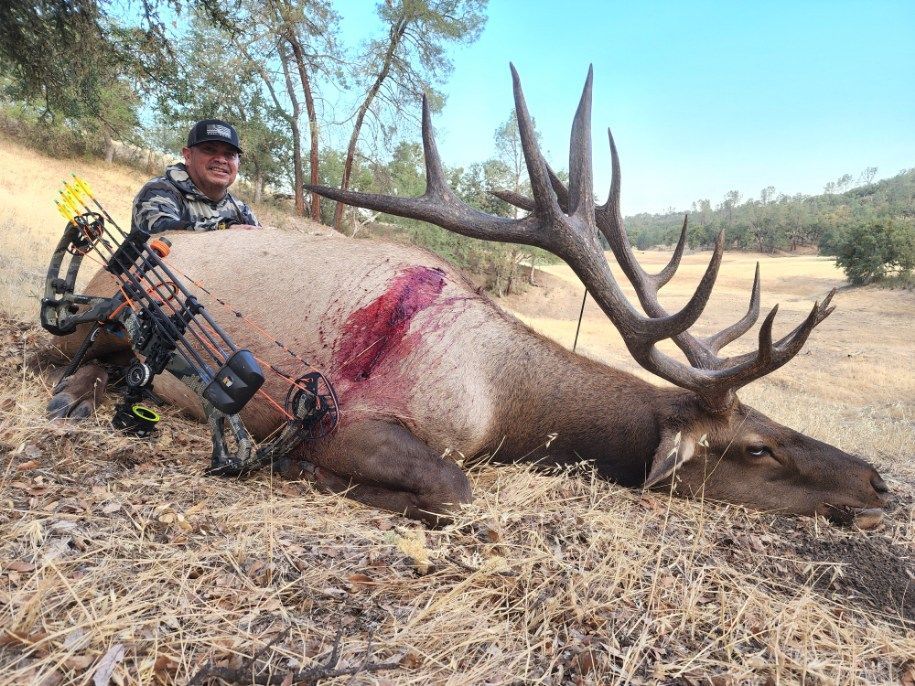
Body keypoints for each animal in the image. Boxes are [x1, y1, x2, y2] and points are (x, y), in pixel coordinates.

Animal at [45, 66, 889, 528]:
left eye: (773, 419)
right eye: (756, 447)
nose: (877, 480)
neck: (505, 403)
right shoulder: (347, 417)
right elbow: (455, 490)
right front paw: (308, 476)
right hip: (104, 318)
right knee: (80, 355)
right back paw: (77, 396)